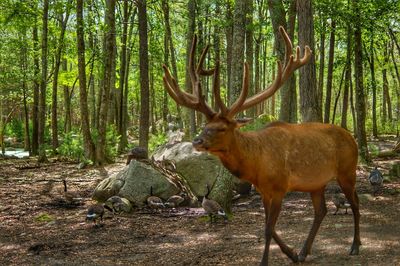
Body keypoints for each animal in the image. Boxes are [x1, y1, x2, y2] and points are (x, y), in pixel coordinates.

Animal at [161, 26, 360, 264]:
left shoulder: (280, 187)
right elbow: (269, 227)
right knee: (321, 211)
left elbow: (268, 229)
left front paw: (266, 261)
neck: (256, 166)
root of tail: (352, 138)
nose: (197, 141)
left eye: (222, 128)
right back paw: (304, 252)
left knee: (356, 203)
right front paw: (292, 253)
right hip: (317, 183)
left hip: (347, 171)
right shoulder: (264, 191)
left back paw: (354, 246)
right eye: (206, 125)